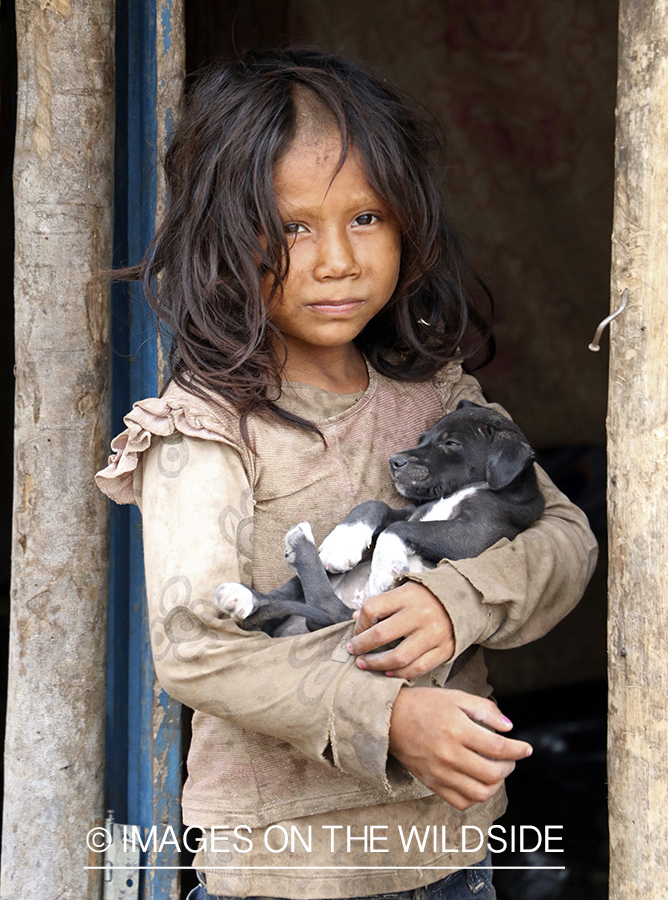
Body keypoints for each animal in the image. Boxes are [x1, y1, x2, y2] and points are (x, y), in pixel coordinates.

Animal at [217, 400, 544, 632]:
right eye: (423, 437)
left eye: (451, 443)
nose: (394, 461)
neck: (458, 491)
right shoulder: (414, 510)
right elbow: (374, 506)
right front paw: (343, 542)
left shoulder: (478, 532)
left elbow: (396, 528)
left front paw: (384, 566)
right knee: (290, 598)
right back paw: (243, 595)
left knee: (326, 607)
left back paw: (300, 546)